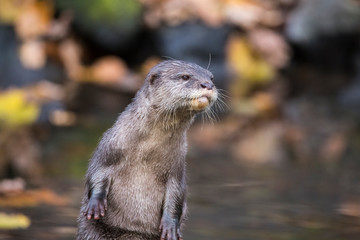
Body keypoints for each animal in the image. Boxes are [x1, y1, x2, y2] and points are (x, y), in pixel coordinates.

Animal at [77, 60, 218, 240]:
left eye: (211, 77)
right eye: (185, 76)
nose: (208, 85)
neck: (147, 152)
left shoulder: (177, 168)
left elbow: (177, 196)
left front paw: (170, 226)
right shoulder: (109, 147)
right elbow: (97, 171)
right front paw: (96, 204)